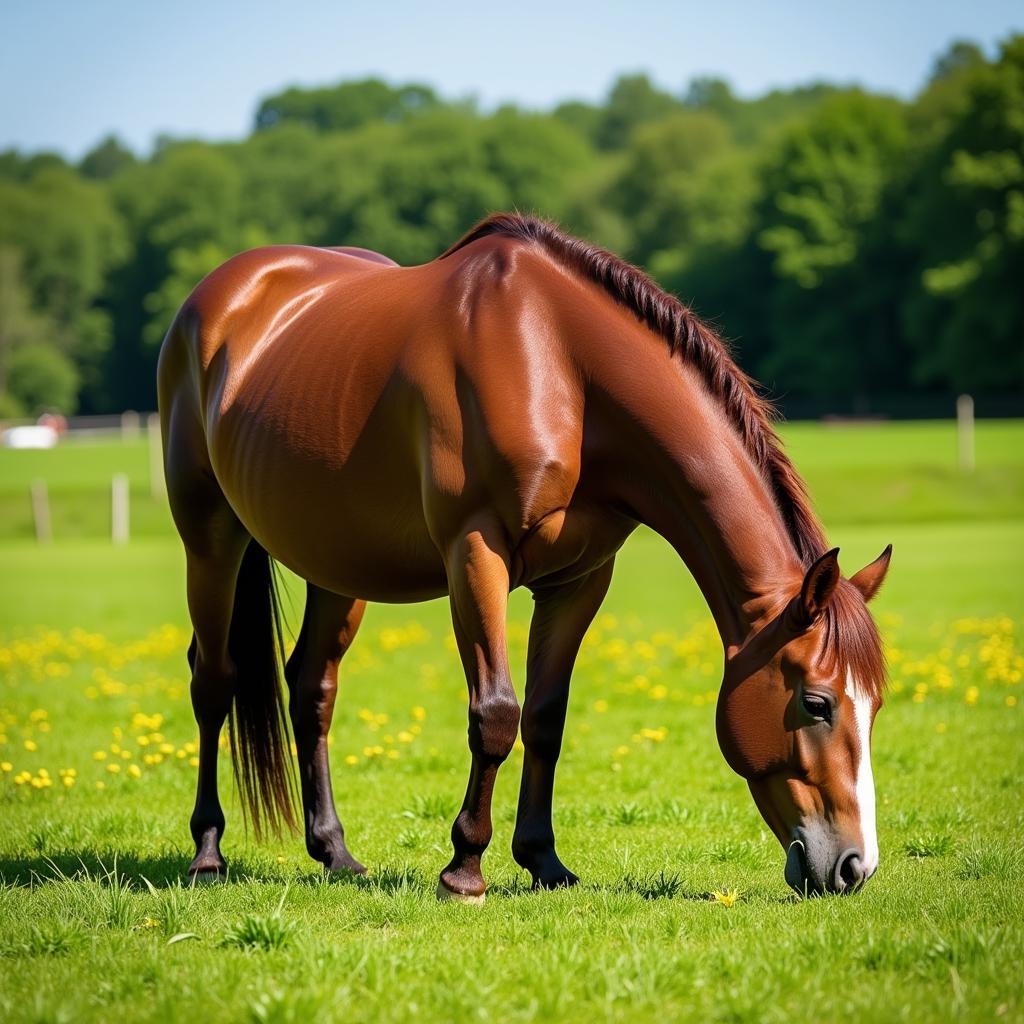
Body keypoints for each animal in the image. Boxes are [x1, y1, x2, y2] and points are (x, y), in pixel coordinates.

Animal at [157, 214, 888, 897]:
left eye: (875, 705)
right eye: (816, 703)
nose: (854, 867)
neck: (556, 361)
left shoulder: (579, 579)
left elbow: (544, 716)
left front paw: (543, 860)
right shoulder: (476, 554)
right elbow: (496, 714)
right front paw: (464, 869)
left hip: (336, 564)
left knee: (312, 688)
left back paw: (334, 851)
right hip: (209, 539)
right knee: (213, 680)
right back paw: (208, 852)